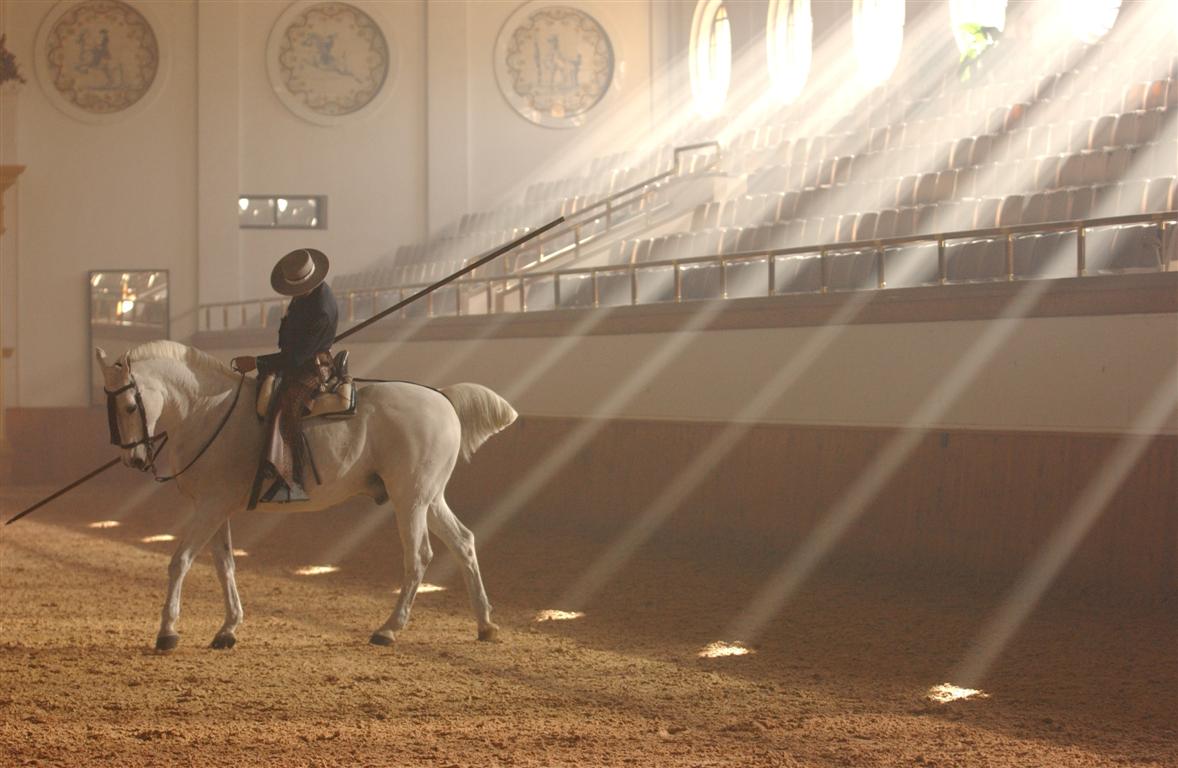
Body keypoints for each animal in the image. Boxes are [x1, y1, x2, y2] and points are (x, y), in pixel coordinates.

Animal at [91, 341, 515, 650]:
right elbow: (225, 565)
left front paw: (167, 632)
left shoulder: (209, 509)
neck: (208, 411)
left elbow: (179, 561)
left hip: (409, 500)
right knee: (463, 543)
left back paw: (389, 629)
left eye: (129, 404)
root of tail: (441, 398)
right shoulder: (217, 508)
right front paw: (228, 629)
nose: (134, 458)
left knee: (419, 556)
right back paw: (485, 624)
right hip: (430, 499)